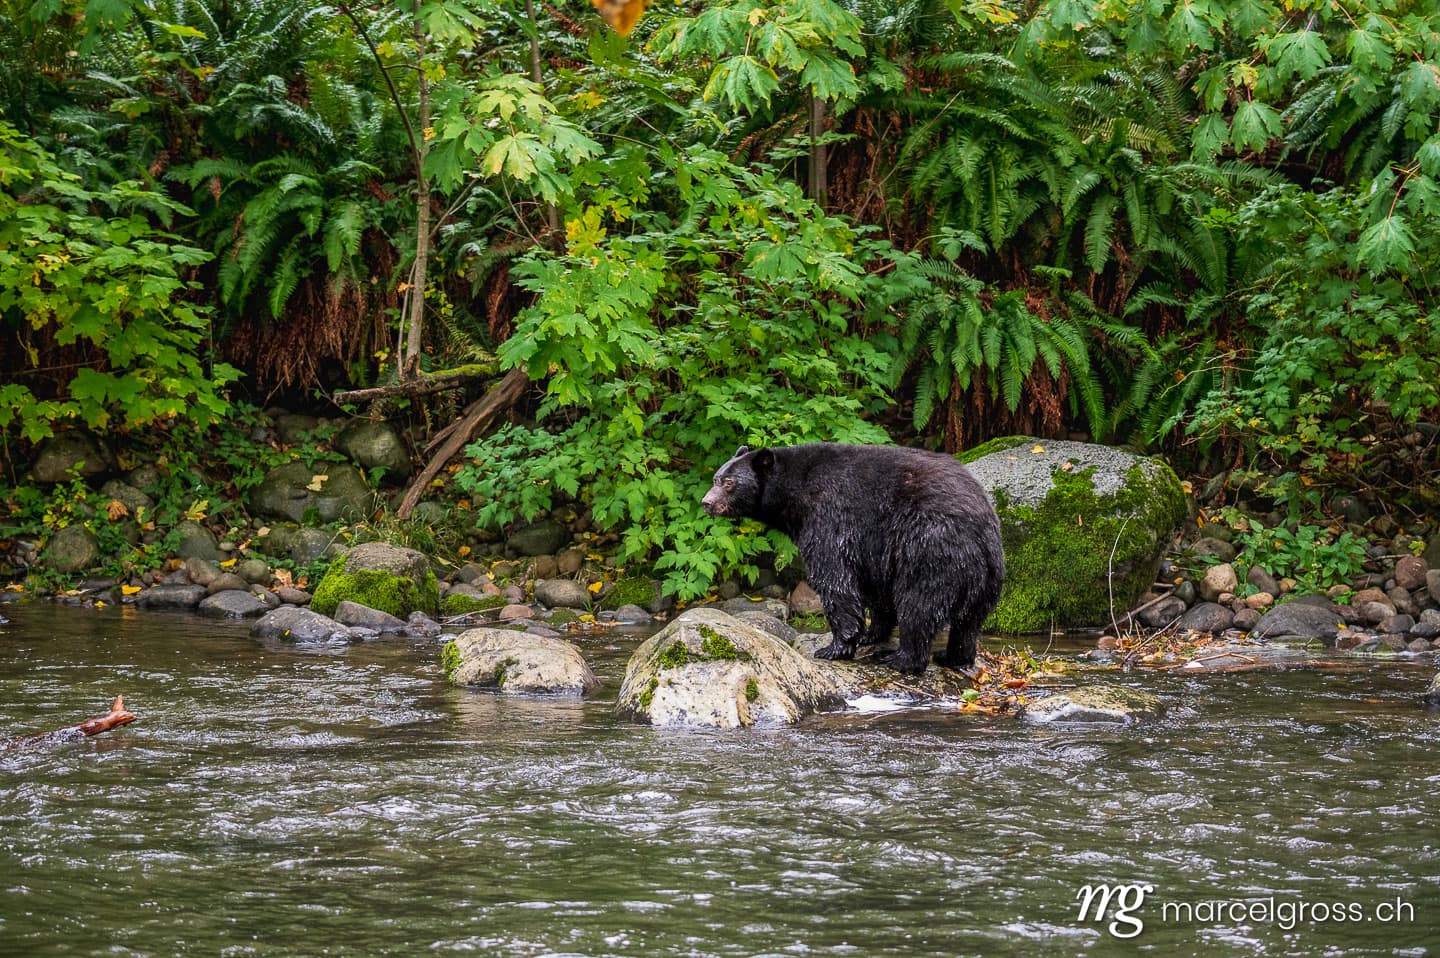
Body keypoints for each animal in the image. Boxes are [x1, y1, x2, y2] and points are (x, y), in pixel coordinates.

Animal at [701, 443, 1005, 675]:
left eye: (729, 483)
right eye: (716, 478)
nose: (707, 503)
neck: (794, 493)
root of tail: (980, 535)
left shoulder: (831, 517)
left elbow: (835, 579)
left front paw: (833, 648)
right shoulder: (874, 549)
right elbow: (875, 589)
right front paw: (872, 633)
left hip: (929, 550)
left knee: (918, 606)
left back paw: (900, 659)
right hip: (987, 577)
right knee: (968, 622)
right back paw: (952, 657)